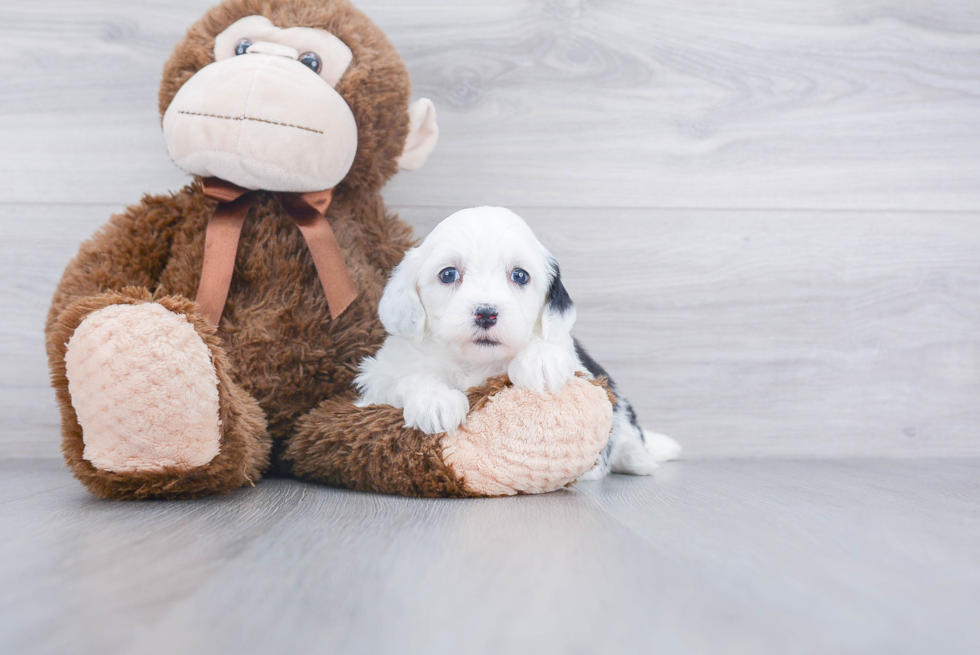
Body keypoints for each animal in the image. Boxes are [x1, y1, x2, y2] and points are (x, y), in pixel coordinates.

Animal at [354, 208, 680, 480]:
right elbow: (409, 378)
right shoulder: (377, 379)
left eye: (520, 275)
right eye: (448, 274)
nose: (486, 313)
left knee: (627, 429)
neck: (475, 361)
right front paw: (435, 401)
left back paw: (638, 458)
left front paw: (540, 361)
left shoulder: (579, 362)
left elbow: (554, 351)